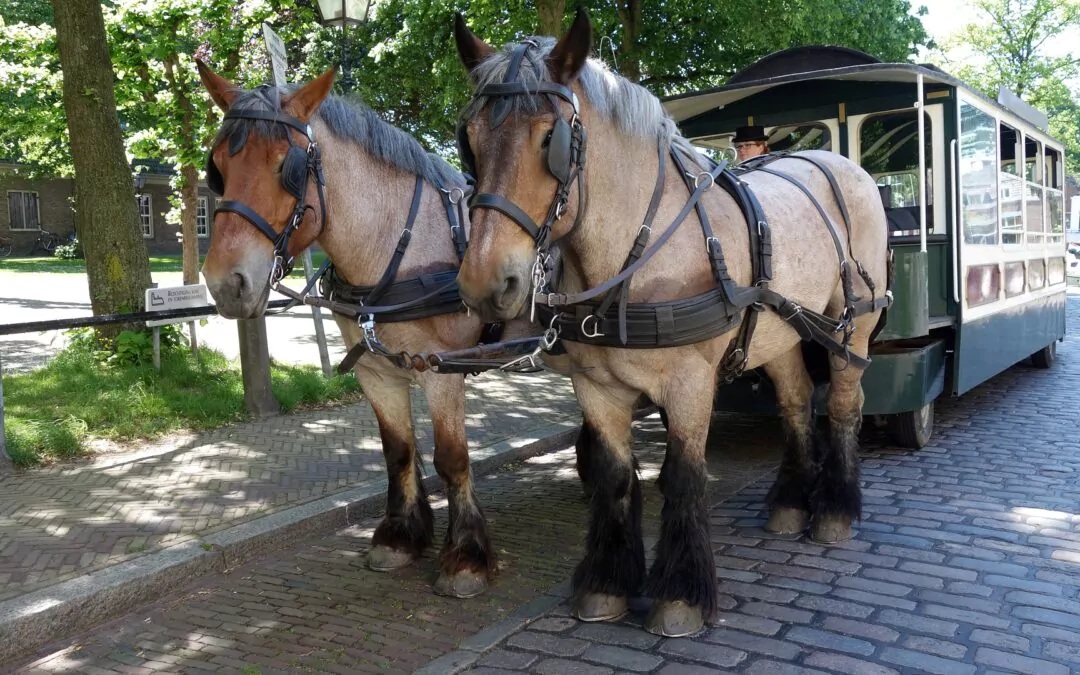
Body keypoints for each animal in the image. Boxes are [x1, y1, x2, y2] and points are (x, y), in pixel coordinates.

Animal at [194, 61, 548, 596]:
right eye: (217, 166)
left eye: (286, 166)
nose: (225, 283)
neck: (398, 245)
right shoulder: (377, 373)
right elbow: (397, 451)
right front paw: (400, 536)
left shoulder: (440, 371)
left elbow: (452, 458)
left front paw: (465, 557)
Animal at [451, 7, 889, 635]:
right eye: (469, 140)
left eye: (550, 138)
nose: (486, 285)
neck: (636, 253)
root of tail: (842, 164)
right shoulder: (596, 387)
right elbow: (614, 475)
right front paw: (607, 584)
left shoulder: (688, 382)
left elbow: (683, 476)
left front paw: (680, 596)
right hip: (781, 331)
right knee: (796, 402)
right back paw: (789, 503)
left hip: (850, 327)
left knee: (844, 405)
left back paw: (834, 511)